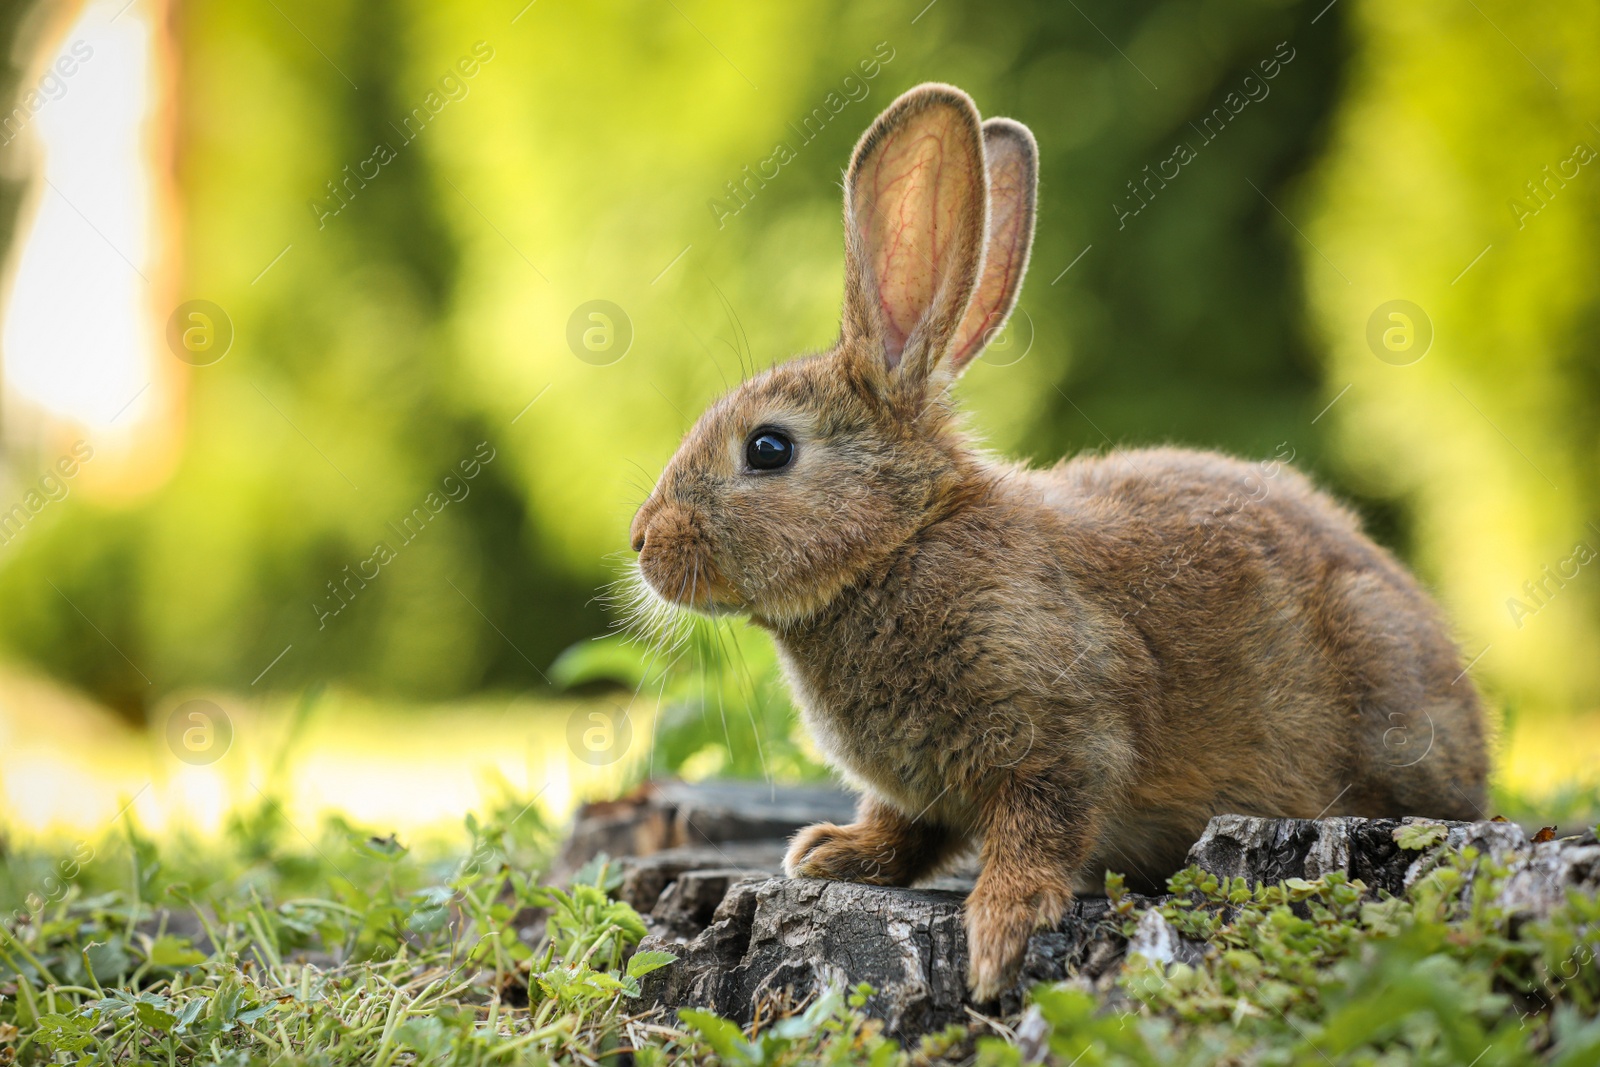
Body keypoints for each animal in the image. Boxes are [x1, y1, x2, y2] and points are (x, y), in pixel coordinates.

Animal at [624, 81, 1484, 1004]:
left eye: (768, 448)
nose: (642, 541)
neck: (902, 542)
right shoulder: (924, 789)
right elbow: (906, 828)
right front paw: (832, 853)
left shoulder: (1065, 732)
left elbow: (1040, 829)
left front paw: (998, 936)